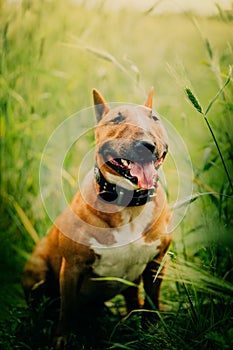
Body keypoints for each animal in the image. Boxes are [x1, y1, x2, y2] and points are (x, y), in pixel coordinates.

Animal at [21, 87, 172, 348]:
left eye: (154, 118)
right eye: (116, 119)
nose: (147, 144)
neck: (128, 204)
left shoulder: (157, 262)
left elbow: (151, 303)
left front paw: (153, 331)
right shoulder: (72, 267)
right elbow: (67, 309)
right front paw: (62, 339)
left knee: (133, 301)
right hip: (37, 270)